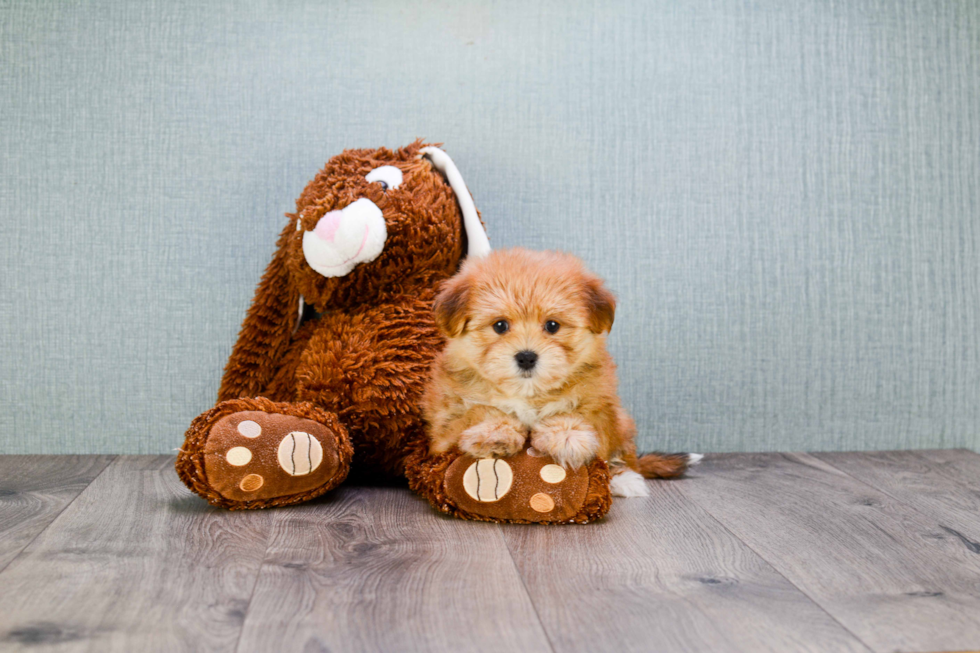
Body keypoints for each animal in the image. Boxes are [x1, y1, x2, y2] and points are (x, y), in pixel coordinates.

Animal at [424, 247, 700, 496]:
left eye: (552, 326)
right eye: (500, 326)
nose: (526, 357)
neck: (528, 393)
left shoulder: (598, 402)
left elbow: (575, 411)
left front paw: (567, 436)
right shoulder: (446, 424)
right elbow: (479, 410)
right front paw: (495, 432)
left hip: (621, 424)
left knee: (625, 456)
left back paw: (624, 479)